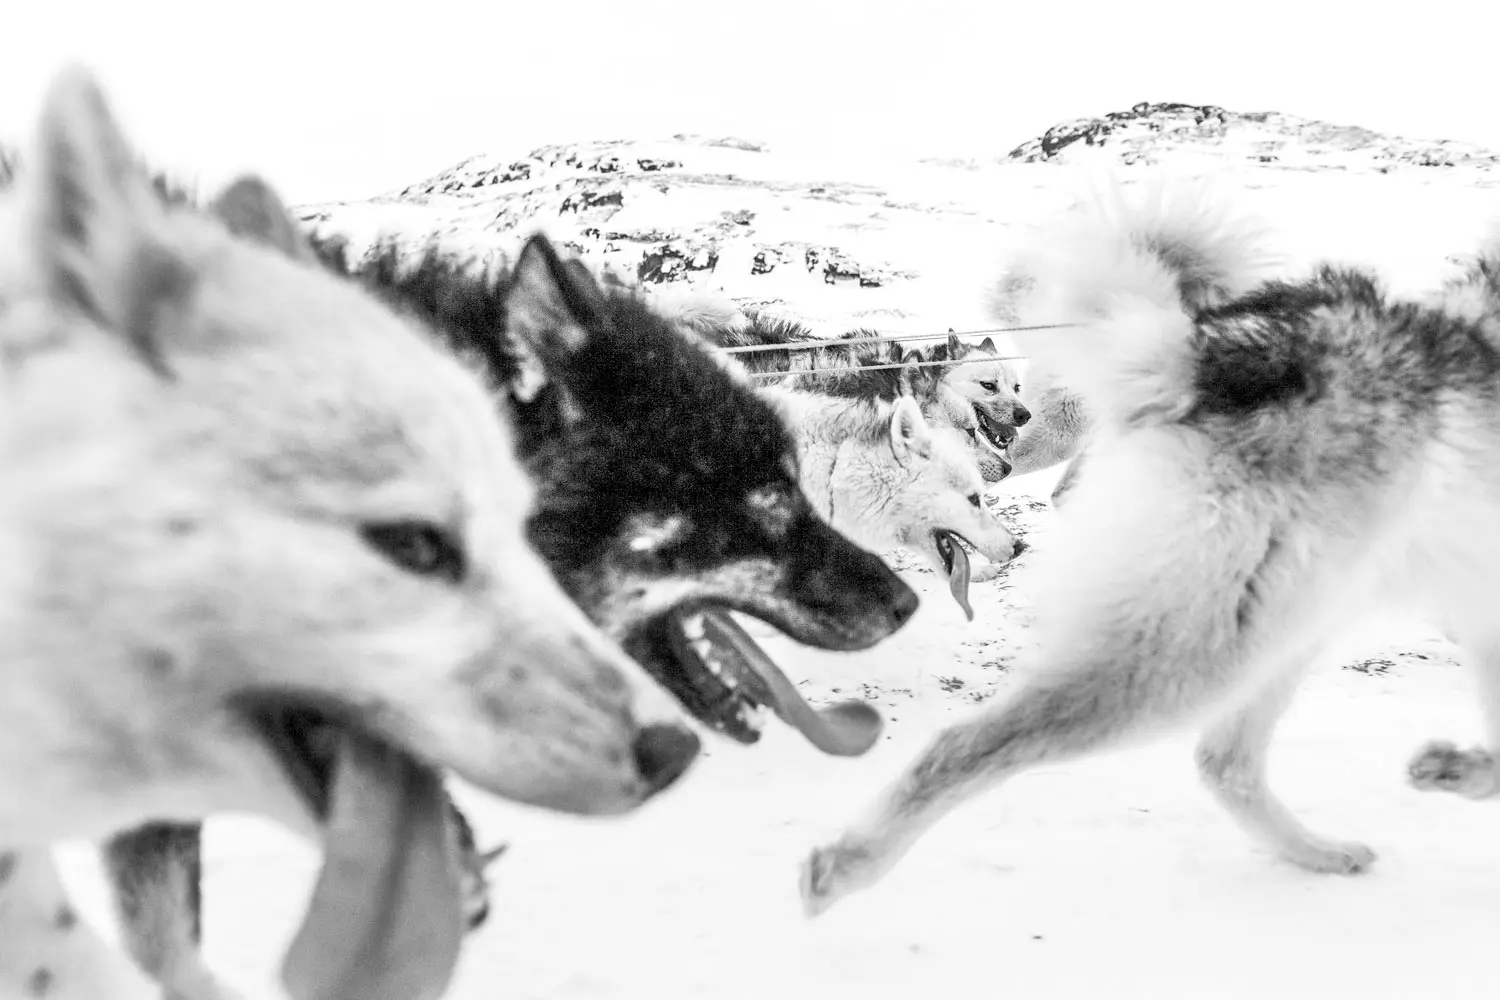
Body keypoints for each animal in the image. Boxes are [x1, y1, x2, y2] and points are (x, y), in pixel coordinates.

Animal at [798, 177, 1500, 917]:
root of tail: (1198, 357)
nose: (1013, 409)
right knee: (978, 740)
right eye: (988, 385)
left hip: (1275, 618)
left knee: (1221, 755)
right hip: (1200, 639)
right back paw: (844, 867)